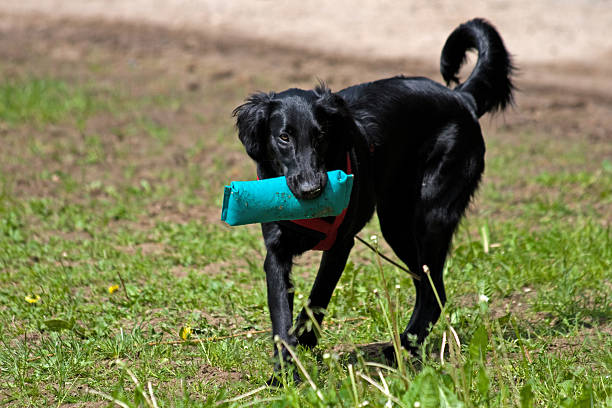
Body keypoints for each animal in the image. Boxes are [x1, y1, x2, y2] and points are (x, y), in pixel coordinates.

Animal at [232, 18, 512, 382]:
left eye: (321, 135)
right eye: (283, 137)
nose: (311, 189)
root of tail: (460, 97)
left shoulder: (340, 244)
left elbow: (318, 296)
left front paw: (304, 338)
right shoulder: (276, 252)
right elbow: (280, 316)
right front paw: (283, 372)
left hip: (430, 215)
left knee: (435, 289)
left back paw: (403, 347)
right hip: (396, 221)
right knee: (426, 286)